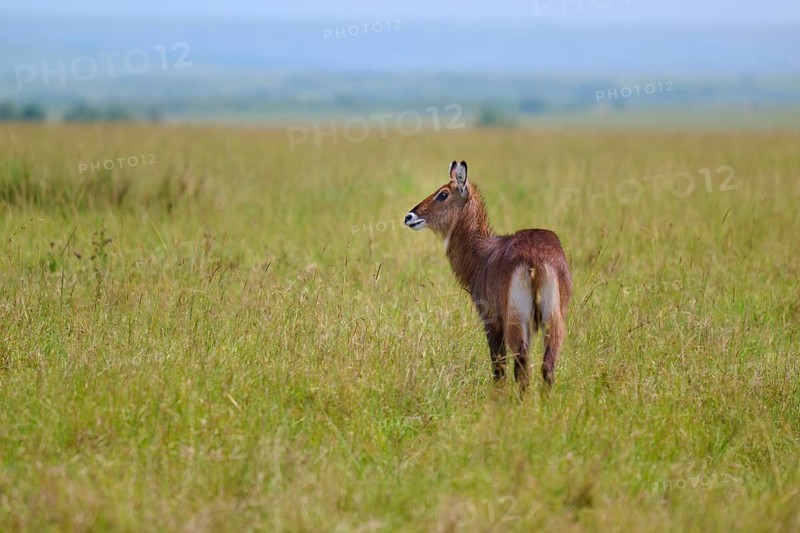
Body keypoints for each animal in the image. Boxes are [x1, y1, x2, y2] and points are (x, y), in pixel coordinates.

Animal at [404, 161, 572, 391]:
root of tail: (535, 258)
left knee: (521, 367)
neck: (483, 253)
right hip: (554, 318)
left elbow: (498, 365)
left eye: (443, 194)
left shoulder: (490, 319)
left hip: (516, 320)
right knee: (547, 365)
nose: (409, 216)